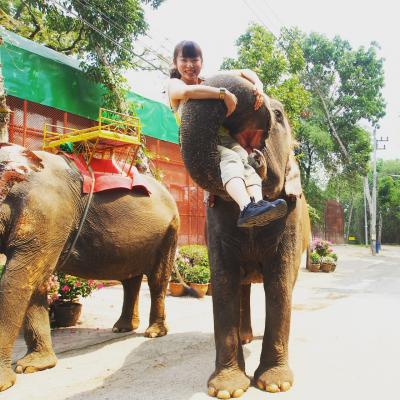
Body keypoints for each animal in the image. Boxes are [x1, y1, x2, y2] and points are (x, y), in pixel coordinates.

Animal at [0, 143, 179, 390]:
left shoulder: (47, 213)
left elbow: (19, 280)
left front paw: (7, 380)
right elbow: (35, 282)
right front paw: (32, 366)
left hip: (169, 232)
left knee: (157, 280)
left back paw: (153, 333)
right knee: (130, 279)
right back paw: (122, 328)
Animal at [180, 74, 310, 396]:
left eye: (279, 115)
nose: (258, 100)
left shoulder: (290, 219)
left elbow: (279, 283)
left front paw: (274, 385)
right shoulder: (215, 224)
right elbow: (223, 282)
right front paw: (227, 389)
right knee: (242, 286)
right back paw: (246, 338)